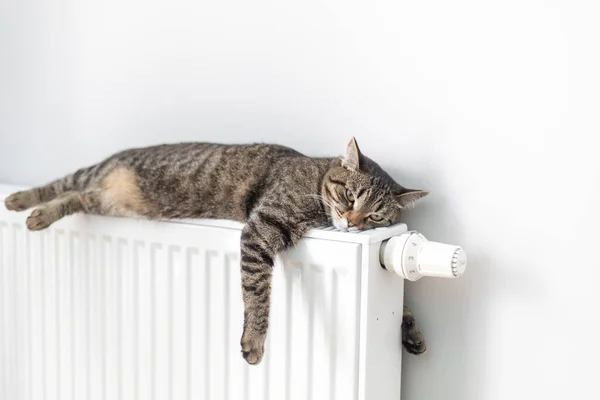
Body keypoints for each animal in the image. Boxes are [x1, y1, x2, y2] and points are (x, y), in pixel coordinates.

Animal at [4, 138, 426, 366]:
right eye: (350, 196)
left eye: (375, 216)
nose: (353, 223)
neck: (316, 180)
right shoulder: (261, 229)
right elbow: (258, 295)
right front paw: (254, 341)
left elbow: (402, 307)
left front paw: (409, 328)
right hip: (92, 178)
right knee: (58, 186)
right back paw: (22, 202)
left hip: (106, 201)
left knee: (75, 197)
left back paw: (38, 213)